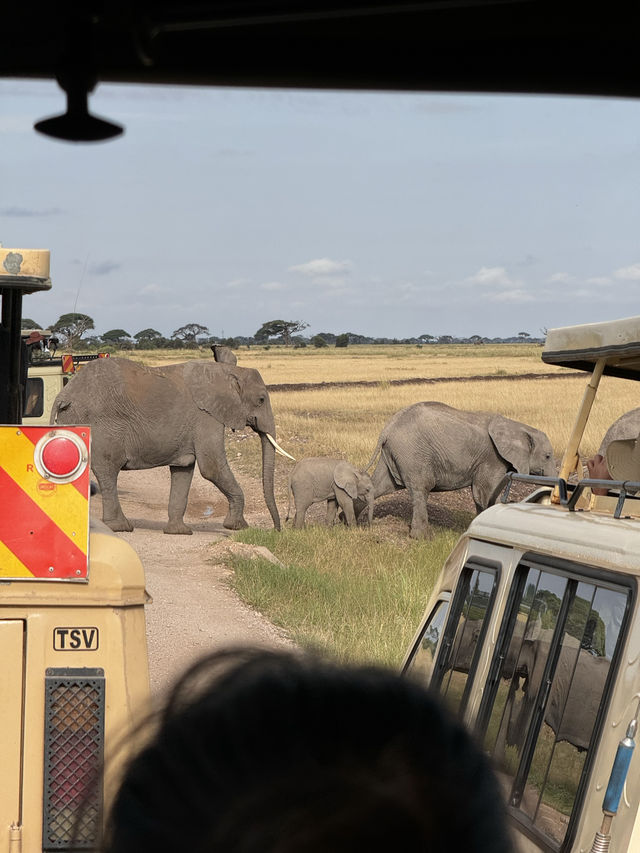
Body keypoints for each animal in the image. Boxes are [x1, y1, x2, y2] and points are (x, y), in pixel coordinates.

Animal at [51, 358, 292, 532]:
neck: (226, 372)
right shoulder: (206, 417)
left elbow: (183, 470)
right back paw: (120, 527)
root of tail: (64, 395)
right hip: (102, 425)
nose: (278, 529)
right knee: (108, 470)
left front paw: (179, 532)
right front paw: (237, 527)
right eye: (261, 400)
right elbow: (211, 467)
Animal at [362, 402, 552, 536]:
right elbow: (485, 493)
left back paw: (358, 523)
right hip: (412, 452)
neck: (519, 426)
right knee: (420, 488)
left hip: (394, 453)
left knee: (380, 485)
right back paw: (422, 538)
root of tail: (387, 428)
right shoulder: (493, 458)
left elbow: (480, 495)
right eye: (548, 456)